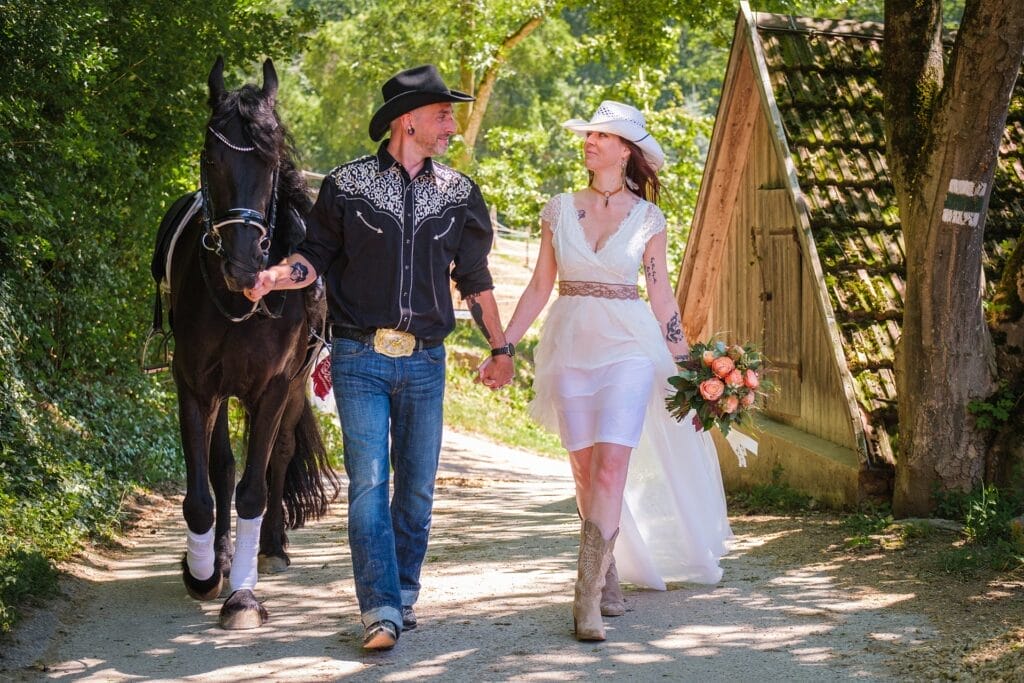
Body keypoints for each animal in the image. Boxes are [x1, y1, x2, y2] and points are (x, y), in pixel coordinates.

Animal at [153, 58, 335, 630]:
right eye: (211, 158)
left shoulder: (274, 388)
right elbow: (205, 490)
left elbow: (254, 488)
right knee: (223, 466)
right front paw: (203, 571)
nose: (243, 264)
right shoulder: (194, 385)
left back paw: (271, 548)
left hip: (293, 389)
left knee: (278, 457)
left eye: (272, 160)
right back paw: (225, 555)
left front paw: (243, 597)